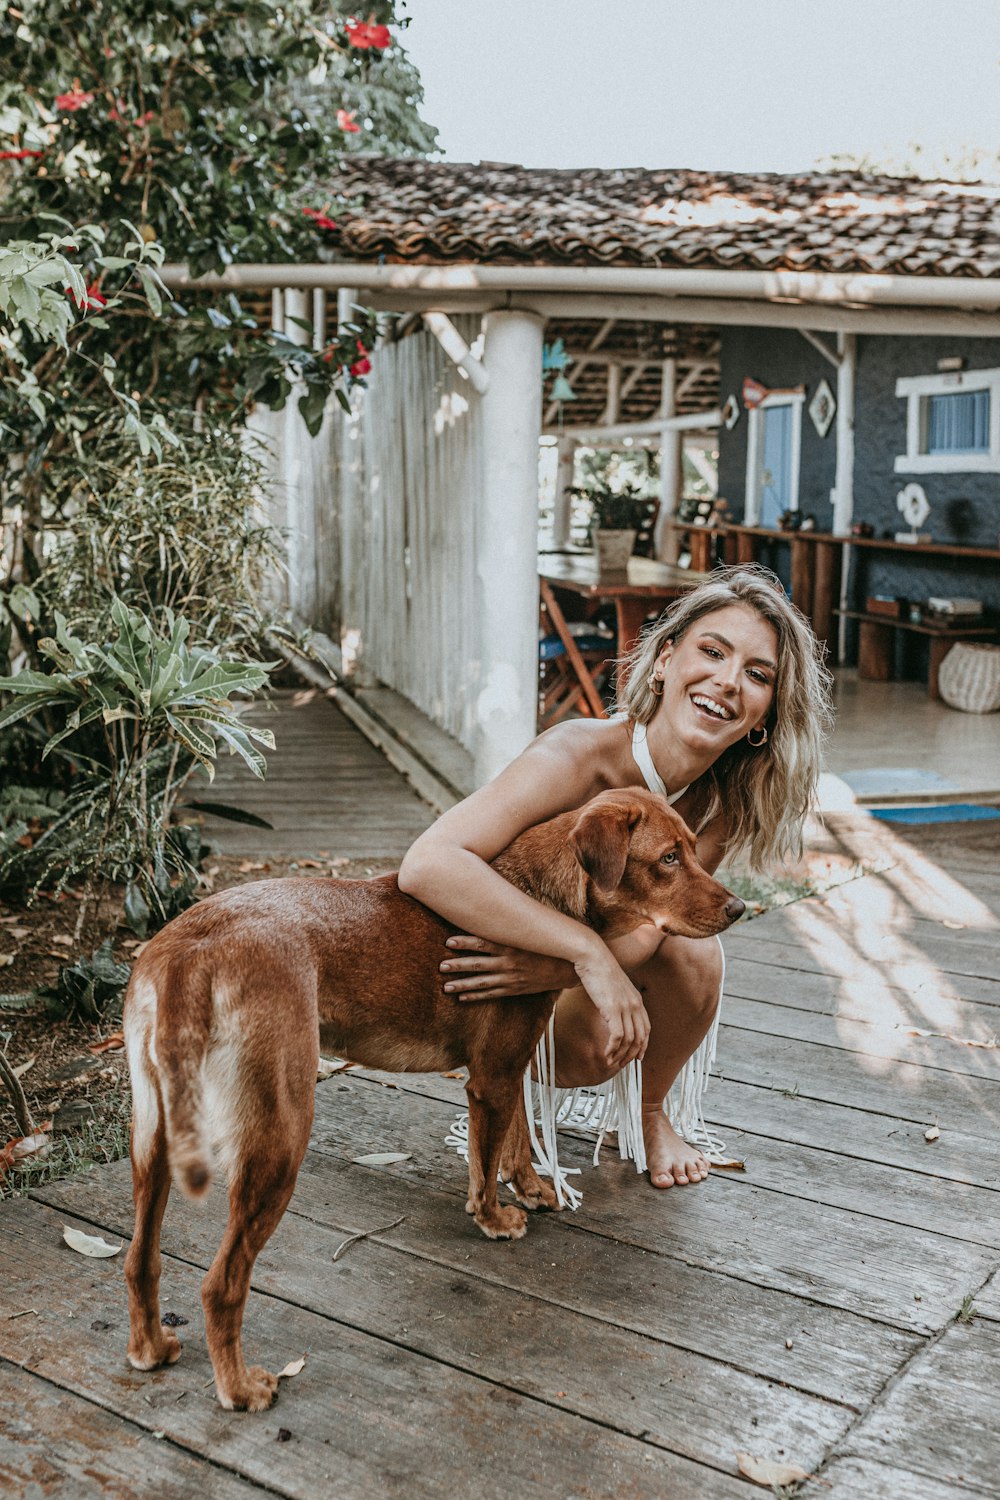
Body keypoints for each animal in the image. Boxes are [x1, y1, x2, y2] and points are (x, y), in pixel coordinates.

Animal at [122, 792, 743, 1410]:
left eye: (694, 848)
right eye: (667, 858)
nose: (739, 908)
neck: (537, 900)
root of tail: (186, 954)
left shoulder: (510, 1063)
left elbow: (516, 1138)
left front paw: (532, 1188)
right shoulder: (491, 1076)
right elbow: (485, 1163)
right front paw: (493, 1218)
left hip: (152, 1137)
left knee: (140, 1258)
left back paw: (150, 1347)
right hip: (279, 1136)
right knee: (221, 1283)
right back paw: (239, 1386)